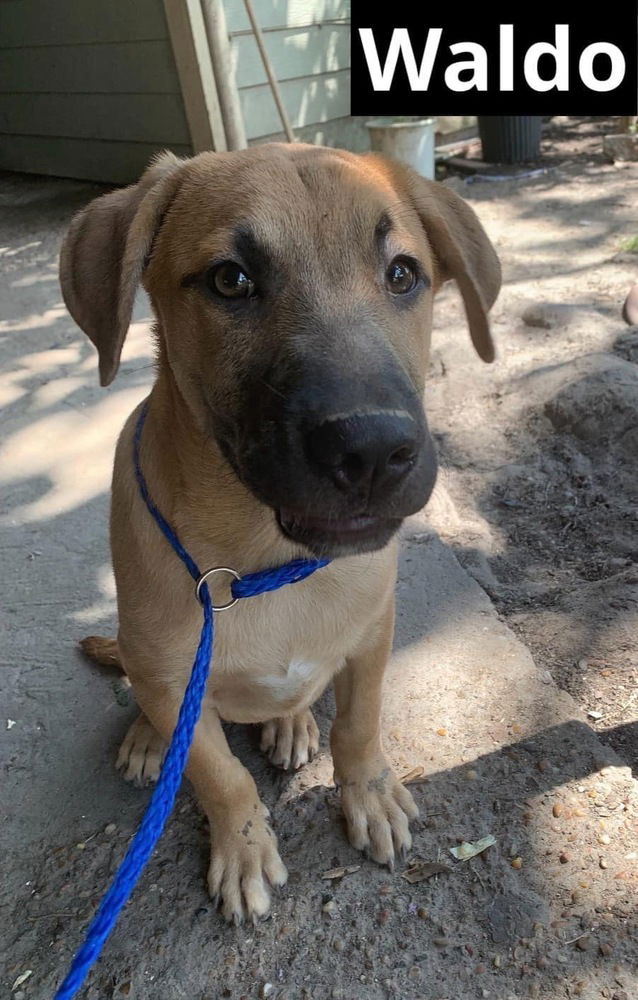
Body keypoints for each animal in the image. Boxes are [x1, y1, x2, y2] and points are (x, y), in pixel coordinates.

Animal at [58, 141, 500, 920]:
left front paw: (370, 795)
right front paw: (243, 849)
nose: (373, 451)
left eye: (403, 274)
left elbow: (360, 726)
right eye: (231, 280)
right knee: (155, 708)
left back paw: (290, 723)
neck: (263, 561)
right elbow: (217, 774)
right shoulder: (173, 679)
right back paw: (148, 740)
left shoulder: (372, 635)